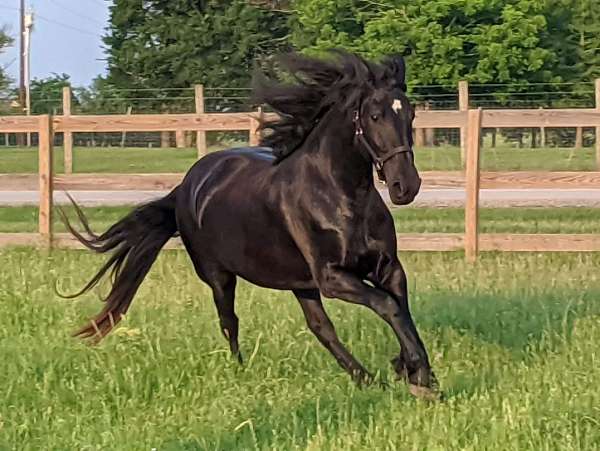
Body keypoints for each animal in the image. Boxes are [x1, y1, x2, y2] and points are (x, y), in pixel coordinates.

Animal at [63, 51, 438, 400]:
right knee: (230, 321)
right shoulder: (332, 277)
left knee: (320, 327)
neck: (339, 196)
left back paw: (366, 379)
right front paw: (418, 374)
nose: (406, 186)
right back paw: (241, 369)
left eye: (410, 114)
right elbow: (388, 305)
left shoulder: (387, 267)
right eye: (375, 116)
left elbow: (400, 308)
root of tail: (187, 185)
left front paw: (415, 372)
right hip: (219, 275)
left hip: (298, 282)